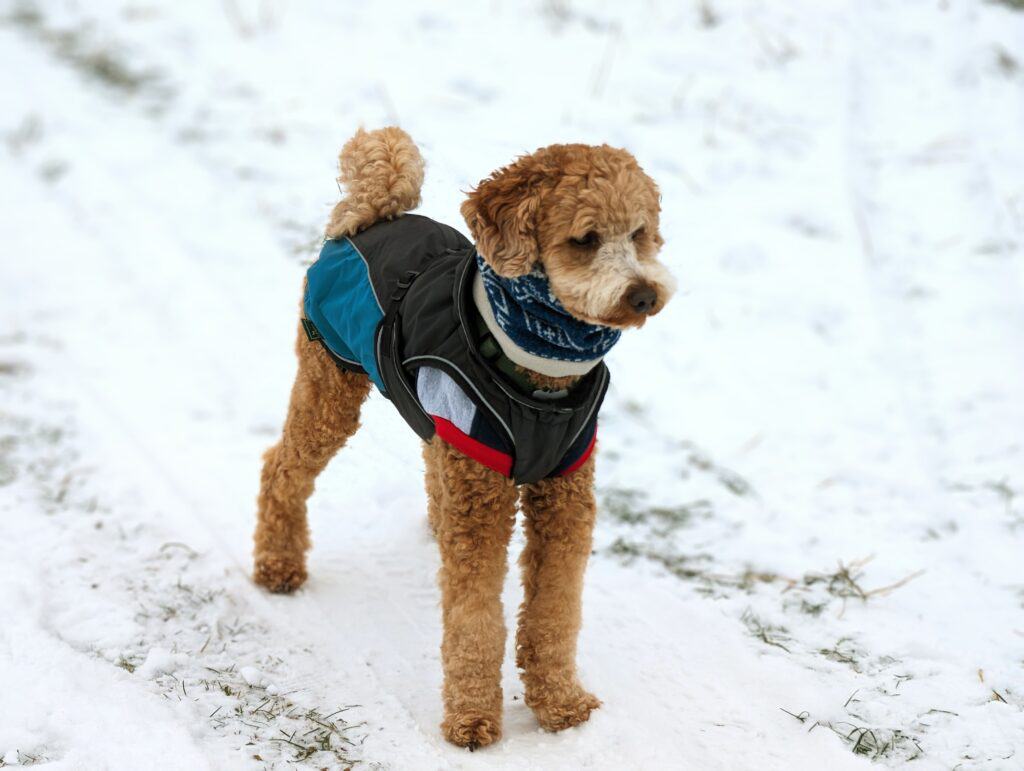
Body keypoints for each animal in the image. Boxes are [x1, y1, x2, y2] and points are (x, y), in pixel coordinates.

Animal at [252, 126, 675, 745]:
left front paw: (559, 702)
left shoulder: (563, 492)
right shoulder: (482, 491)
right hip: (331, 383)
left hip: (443, 430)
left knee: (429, 468)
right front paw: (472, 718)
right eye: (585, 239)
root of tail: (368, 217)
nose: (643, 295)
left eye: (639, 233)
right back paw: (277, 564)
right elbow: (475, 617)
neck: (540, 376)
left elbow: (555, 610)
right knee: (281, 465)